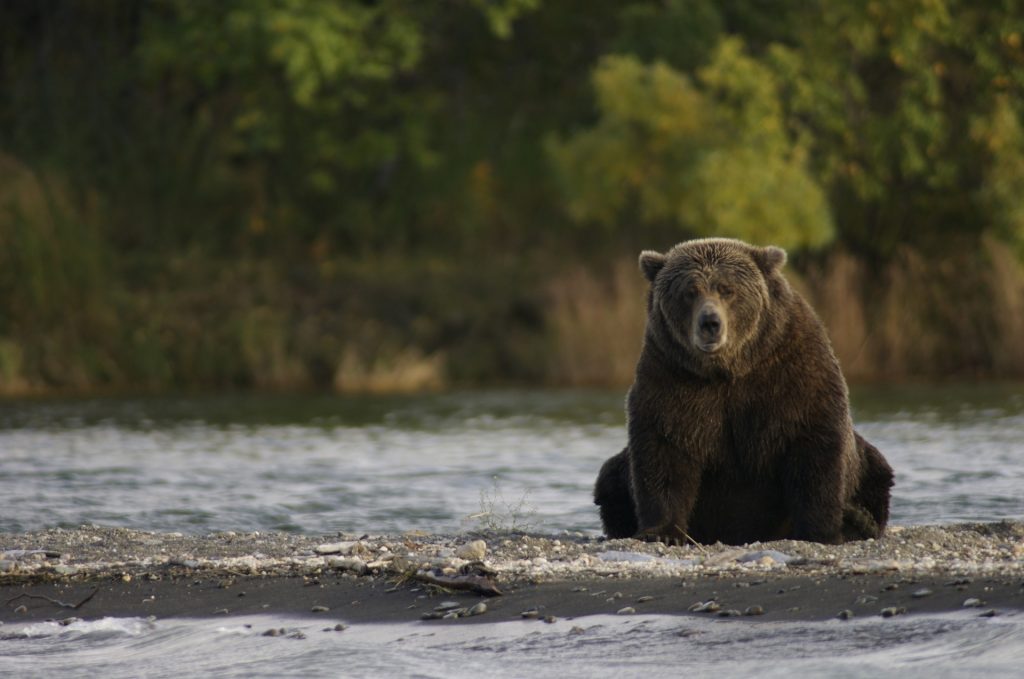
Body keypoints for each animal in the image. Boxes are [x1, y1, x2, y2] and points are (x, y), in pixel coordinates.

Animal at [598, 238, 892, 548]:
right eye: (690, 291)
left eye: (727, 289)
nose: (710, 323)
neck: (729, 369)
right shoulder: (671, 377)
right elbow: (665, 449)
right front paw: (662, 532)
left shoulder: (792, 372)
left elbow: (814, 447)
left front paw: (821, 531)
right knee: (610, 477)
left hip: (867, 465)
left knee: (876, 470)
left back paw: (858, 520)